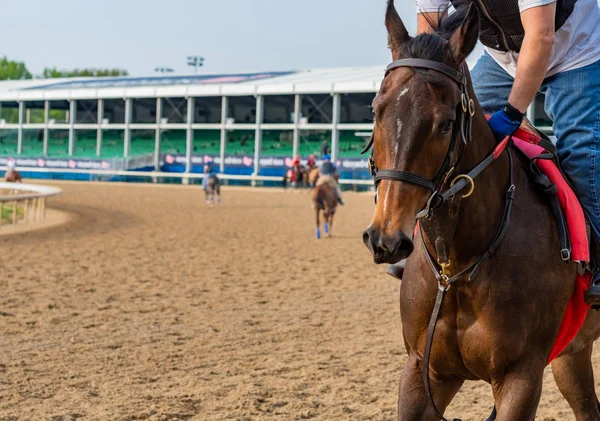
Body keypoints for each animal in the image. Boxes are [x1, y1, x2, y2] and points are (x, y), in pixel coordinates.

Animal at [364, 1, 600, 418]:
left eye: (445, 124)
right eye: (376, 111)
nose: (386, 240)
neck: (457, 265)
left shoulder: (521, 375)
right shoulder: (423, 370)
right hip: (572, 354)